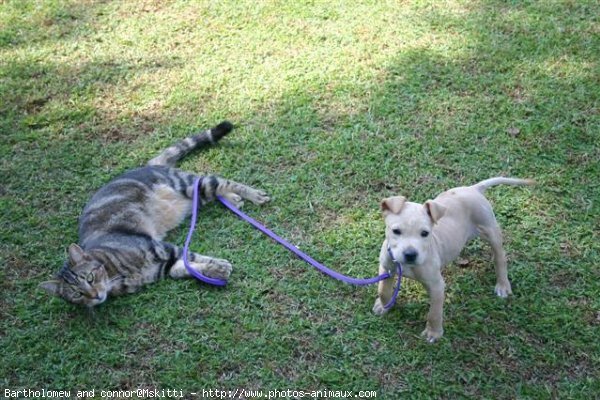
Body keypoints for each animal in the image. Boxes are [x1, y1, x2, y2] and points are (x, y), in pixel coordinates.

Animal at [39, 122, 270, 306]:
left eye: (89, 278)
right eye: (77, 294)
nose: (95, 295)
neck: (117, 275)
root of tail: (150, 165)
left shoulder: (160, 247)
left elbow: (192, 256)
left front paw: (219, 265)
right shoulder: (163, 267)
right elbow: (185, 268)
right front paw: (213, 271)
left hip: (187, 184)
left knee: (220, 181)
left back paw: (253, 195)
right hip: (195, 195)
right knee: (215, 190)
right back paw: (234, 199)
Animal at [376, 177, 536, 340]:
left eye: (425, 233)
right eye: (396, 231)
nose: (410, 254)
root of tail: (473, 188)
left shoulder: (436, 285)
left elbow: (434, 313)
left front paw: (433, 332)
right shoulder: (386, 268)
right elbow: (383, 290)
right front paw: (383, 306)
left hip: (490, 229)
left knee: (500, 257)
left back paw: (503, 285)